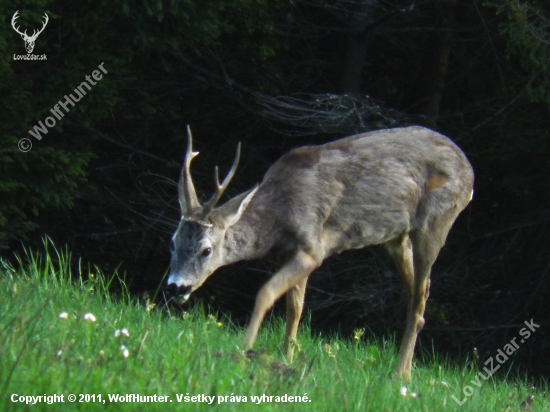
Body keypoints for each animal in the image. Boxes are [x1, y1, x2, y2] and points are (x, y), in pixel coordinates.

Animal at [167, 124, 474, 380]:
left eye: (206, 250)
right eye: (173, 241)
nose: (176, 286)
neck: (276, 217)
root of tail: (469, 170)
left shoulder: (312, 250)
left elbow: (266, 292)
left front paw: (244, 351)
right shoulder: (293, 255)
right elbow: (295, 308)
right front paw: (287, 358)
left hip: (435, 224)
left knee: (420, 296)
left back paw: (400, 375)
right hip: (398, 240)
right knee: (419, 295)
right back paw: (406, 371)